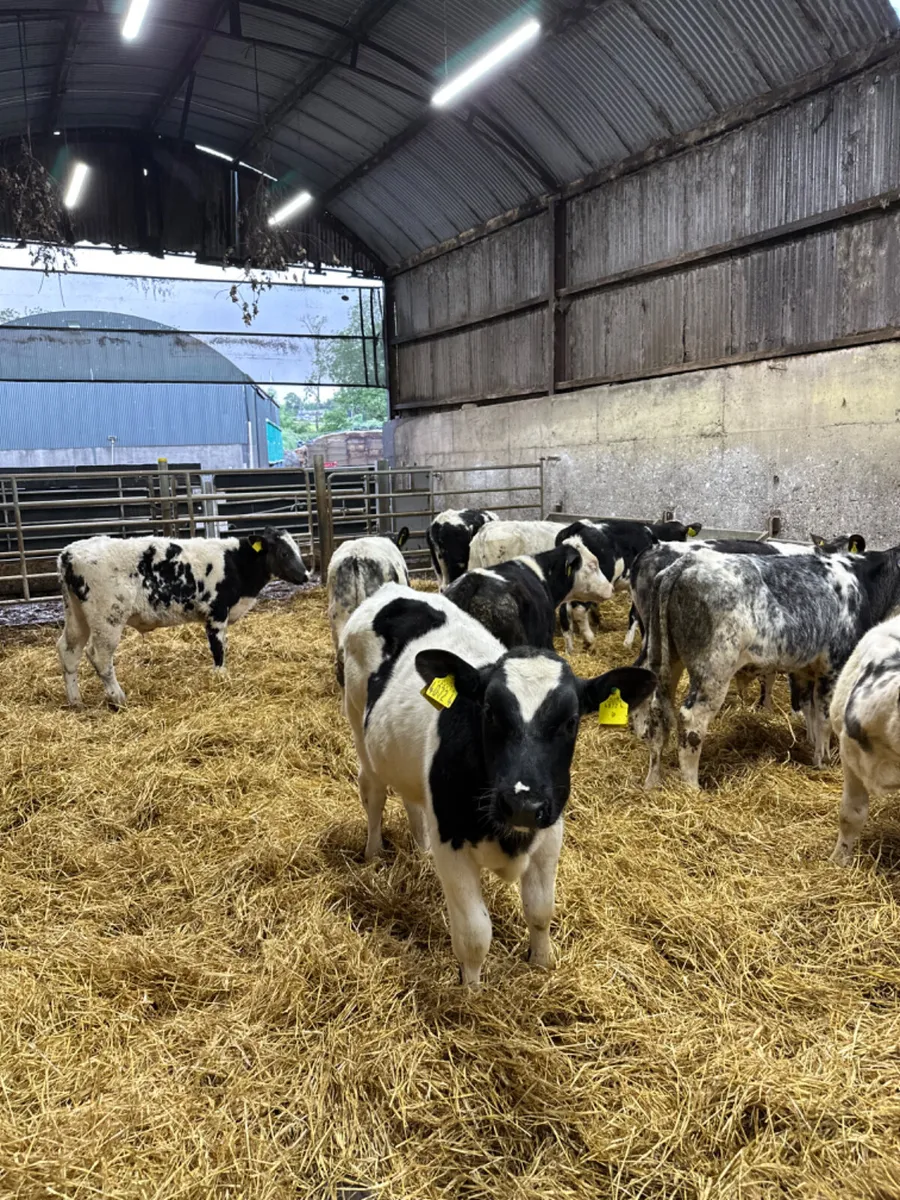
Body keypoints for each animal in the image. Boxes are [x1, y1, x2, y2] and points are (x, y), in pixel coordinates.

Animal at [57, 528, 308, 708]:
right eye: (284, 553)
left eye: (296, 550)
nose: (306, 575)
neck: (235, 562)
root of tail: (69, 553)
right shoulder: (216, 612)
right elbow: (218, 648)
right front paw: (221, 677)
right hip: (108, 618)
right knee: (99, 656)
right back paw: (118, 698)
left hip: (77, 615)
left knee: (68, 650)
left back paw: (76, 702)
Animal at [340, 583, 656, 984]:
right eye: (489, 711)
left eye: (571, 721)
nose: (523, 804)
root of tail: (393, 589)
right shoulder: (452, 844)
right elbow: (475, 934)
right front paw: (471, 991)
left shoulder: (550, 833)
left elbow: (540, 909)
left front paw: (542, 962)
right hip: (358, 727)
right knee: (373, 793)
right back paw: (374, 852)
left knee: (412, 800)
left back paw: (420, 851)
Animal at [632, 544, 898, 791]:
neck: (864, 584)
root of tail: (687, 561)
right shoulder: (833, 667)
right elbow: (824, 718)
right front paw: (824, 761)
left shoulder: (805, 669)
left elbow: (809, 710)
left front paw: (812, 747)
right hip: (713, 670)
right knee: (691, 720)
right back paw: (691, 788)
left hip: (665, 658)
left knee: (658, 715)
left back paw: (652, 782)